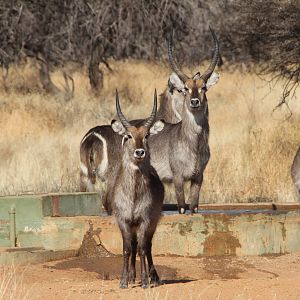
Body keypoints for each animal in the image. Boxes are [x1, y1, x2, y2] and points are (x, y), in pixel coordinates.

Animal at [112, 88, 164, 288]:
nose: (139, 152)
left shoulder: (145, 220)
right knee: (133, 246)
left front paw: (145, 281)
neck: (133, 195)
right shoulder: (123, 220)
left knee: (147, 246)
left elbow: (142, 248)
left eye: (147, 135)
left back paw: (153, 277)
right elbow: (127, 249)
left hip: (153, 222)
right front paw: (123, 281)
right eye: (128, 136)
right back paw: (132, 276)